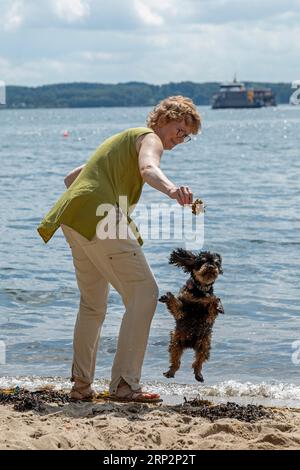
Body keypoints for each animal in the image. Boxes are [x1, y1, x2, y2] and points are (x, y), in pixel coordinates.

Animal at [159, 248, 223, 384]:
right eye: (202, 261)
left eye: (216, 263)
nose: (210, 266)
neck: (199, 291)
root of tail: (190, 344)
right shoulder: (181, 311)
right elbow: (175, 304)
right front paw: (167, 296)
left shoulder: (209, 313)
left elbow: (214, 301)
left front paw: (219, 305)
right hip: (176, 342)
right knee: (176, 360)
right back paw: (170, 372)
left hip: (204, 344)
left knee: (198, 362)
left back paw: (198, 375)